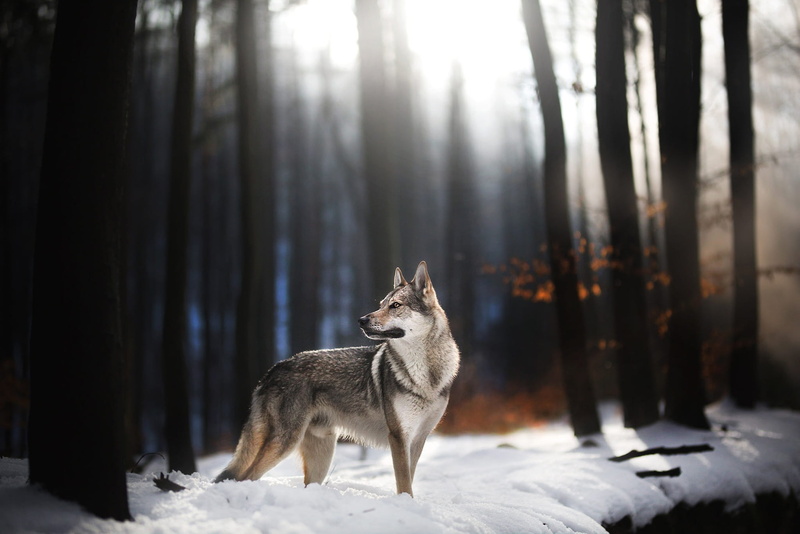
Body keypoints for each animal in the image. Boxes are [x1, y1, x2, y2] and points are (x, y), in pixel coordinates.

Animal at [215, 261, 460, 497]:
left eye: (396, 305)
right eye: (381, 304)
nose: (361, 320)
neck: (426, 374)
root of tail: (273, 370)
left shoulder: (417, 439)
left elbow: (409, 479)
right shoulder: (398, 437)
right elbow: (405, 485)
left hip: (321, 456)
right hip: (285, 443)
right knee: (243, 476)